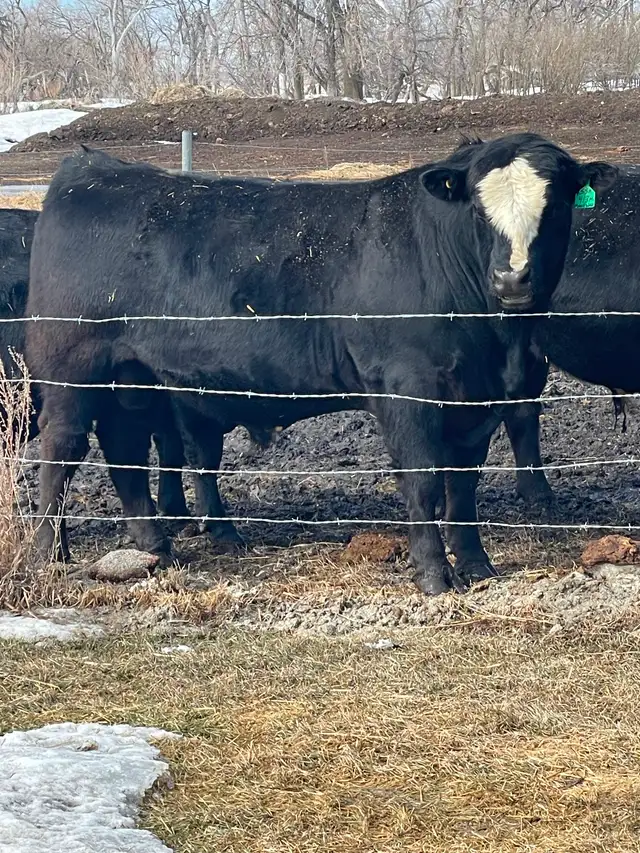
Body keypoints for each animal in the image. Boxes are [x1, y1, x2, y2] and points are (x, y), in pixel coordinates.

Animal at [24, 134, 617, 595]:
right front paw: (434, 576)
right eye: (476, 207)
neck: (496, 334)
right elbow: (424, 482)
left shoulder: (479, 397)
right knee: (64, 448)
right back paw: (48, 553)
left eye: (556, 207)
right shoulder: (406, 388)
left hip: (132, 377)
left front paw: (476, 565)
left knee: (124, 449)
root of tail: (92, 169)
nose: (512, 279)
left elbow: (462, 487)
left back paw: (155, 548)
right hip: (70, 365)